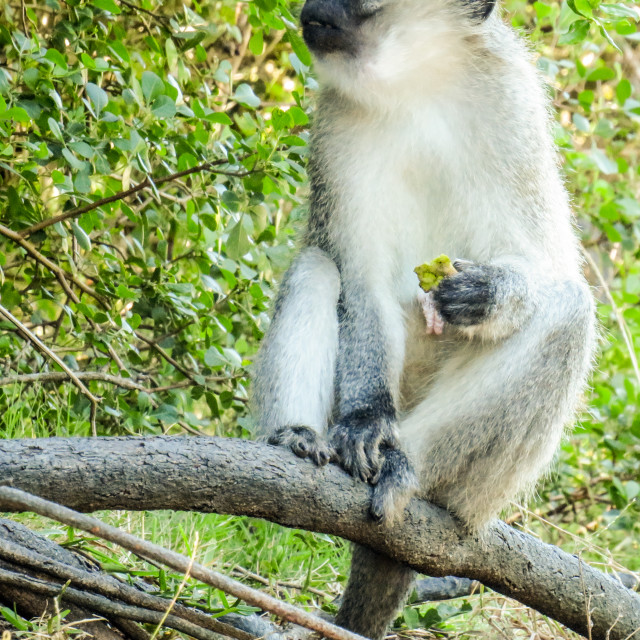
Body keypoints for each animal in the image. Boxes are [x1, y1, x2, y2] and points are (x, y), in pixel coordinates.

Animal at [252, 0, 596, 632]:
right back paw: (298, 439)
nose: (311, 11)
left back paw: (406, 469)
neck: (416, 78)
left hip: (480, 497)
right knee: (318, 266)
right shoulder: (336, 126)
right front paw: (365, 420)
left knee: (569, 313)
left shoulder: (512, 106)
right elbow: (359, 277)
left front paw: (491, 293)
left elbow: (546, 260)